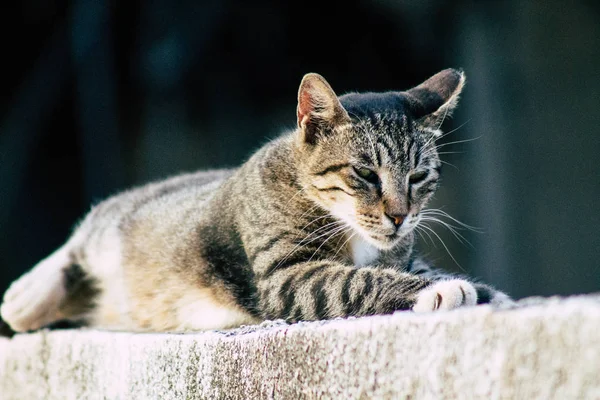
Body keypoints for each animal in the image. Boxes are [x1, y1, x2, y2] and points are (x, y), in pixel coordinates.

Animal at [0, 69, 510, 334]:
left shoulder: (402, 255)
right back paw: (25, 299)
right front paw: (443, 291)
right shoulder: (287, 277)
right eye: (365, 174)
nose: (400, 217)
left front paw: (480, 290)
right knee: (81, 238)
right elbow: (358, 281)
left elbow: (407, 267)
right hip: (116, 225)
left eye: (419, 176)